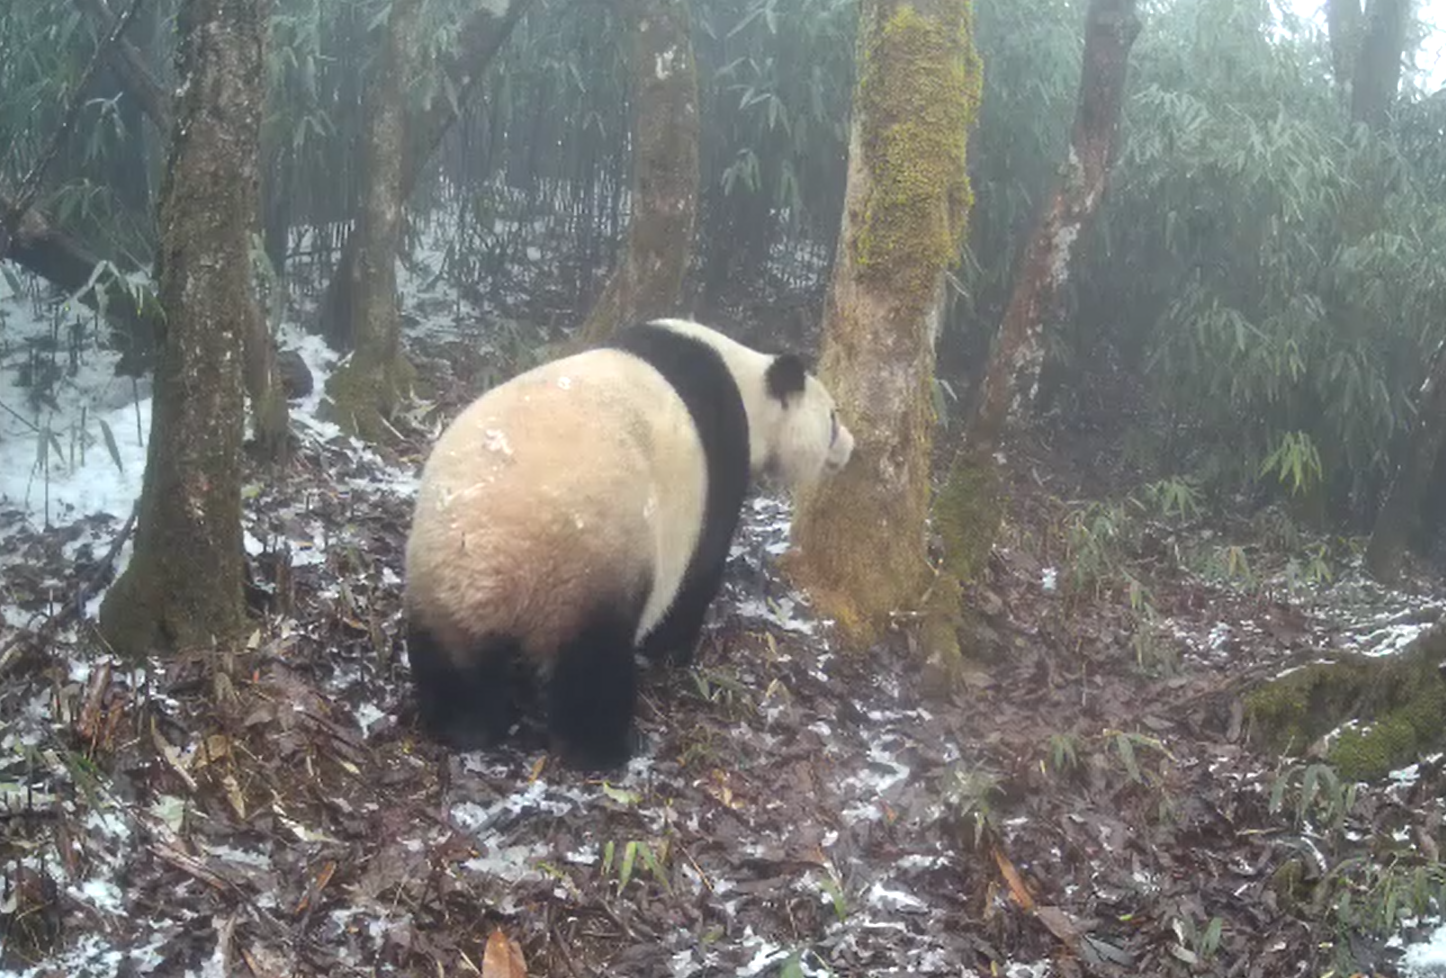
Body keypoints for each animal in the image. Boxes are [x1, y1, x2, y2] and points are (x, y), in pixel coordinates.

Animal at [401, 316, 850, 769]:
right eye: (832, 419)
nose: (850, 446)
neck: (746, 380)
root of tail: (494, 557)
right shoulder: (720, 461)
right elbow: (700, 570)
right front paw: (674, 652)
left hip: (438, 574)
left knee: (451, 660)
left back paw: (464, 724)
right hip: (588, 565)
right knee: (592, 668)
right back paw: (603, 748)